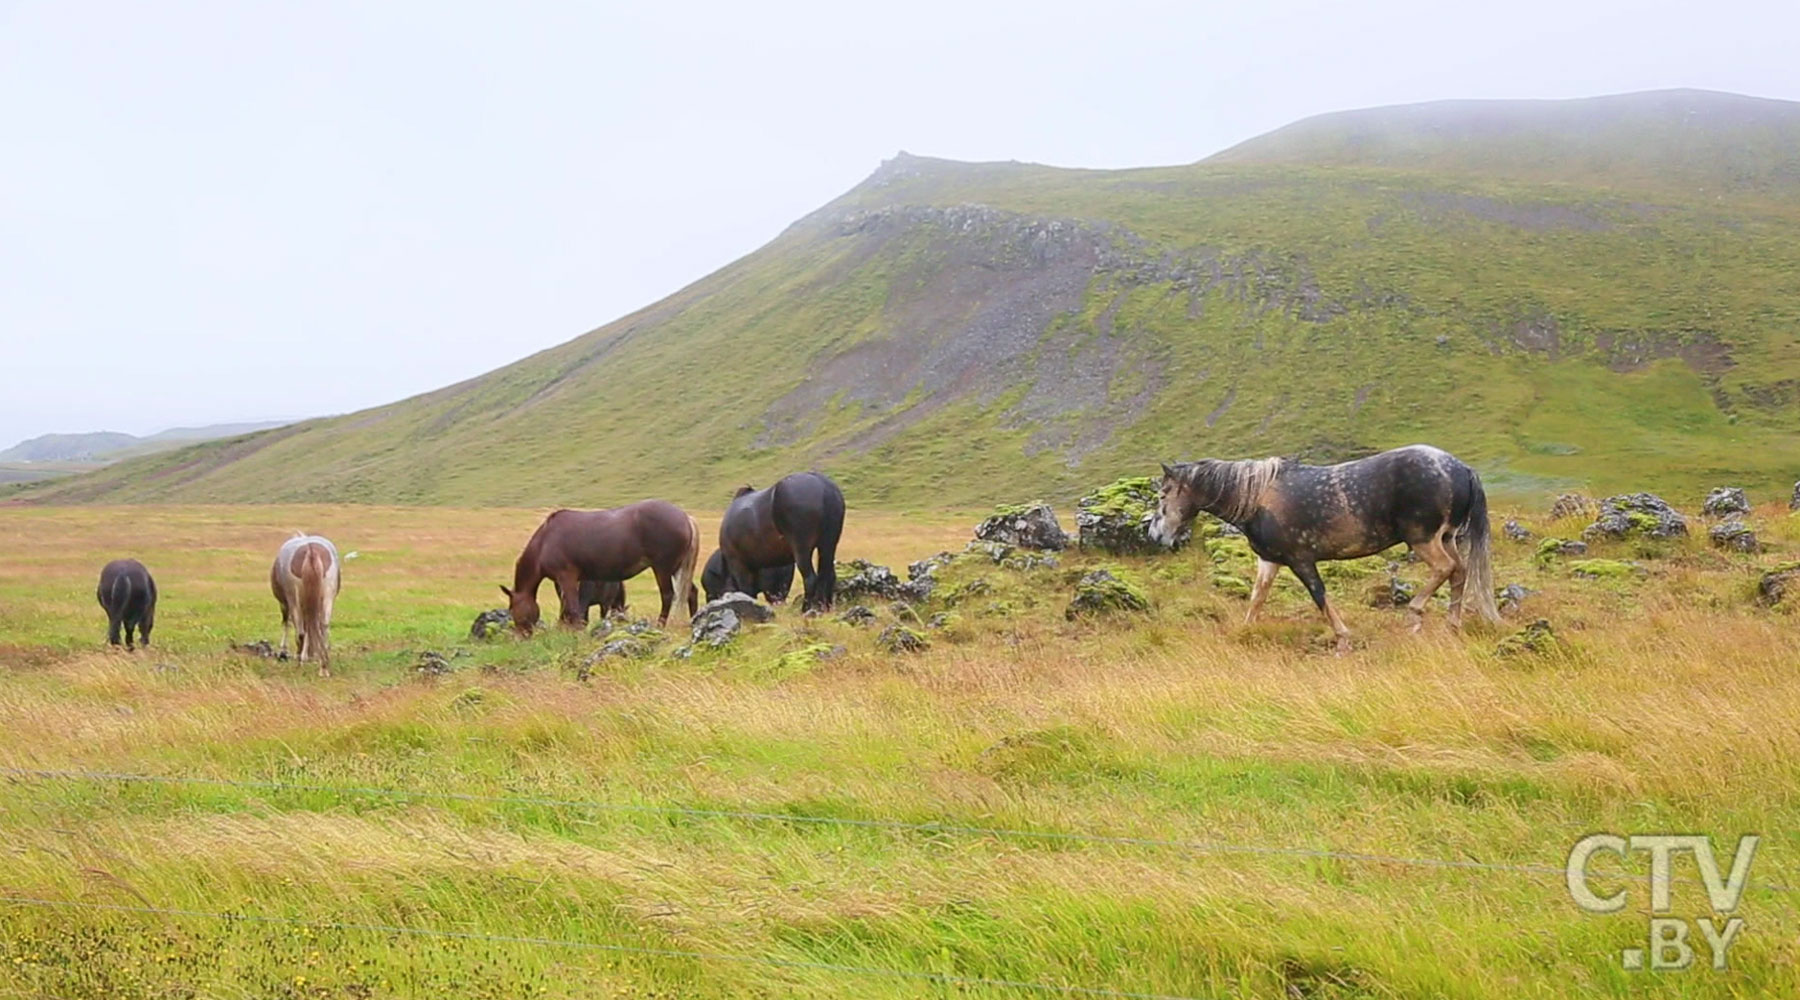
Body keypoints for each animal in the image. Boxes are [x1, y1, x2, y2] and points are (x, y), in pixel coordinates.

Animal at [268, 535, 342, 676]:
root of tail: (311, 551)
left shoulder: (285, 605)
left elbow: (287, 624)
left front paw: (283, 652)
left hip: (294, 602)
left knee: (300, 631)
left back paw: (299, 663)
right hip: (327, 599)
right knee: (323, 627)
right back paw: (323, 667)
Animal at [511, 500, 705, 633]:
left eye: (513, 610)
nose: (521, 635)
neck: (546, 540)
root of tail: (685, 517)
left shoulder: (567, 576)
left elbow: (573, 606)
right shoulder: (561, 581)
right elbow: (565, 606)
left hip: (663, 568)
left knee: (668, 595)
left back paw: (660, 625)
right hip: (677, 569)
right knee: (691, 592)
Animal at [720, 471, 846, 611]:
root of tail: (825, 486)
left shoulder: (738, 564)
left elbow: (746, 590)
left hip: (802, 549)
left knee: (810, 579)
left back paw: (805, 609)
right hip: (828, 546)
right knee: (829, 576)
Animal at [1152, 444, 1504, 647]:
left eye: (1163, 493)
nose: (1156, 535)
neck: (1257, 496)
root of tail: (1462, 469)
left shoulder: (1301, 560)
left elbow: (1319, 596)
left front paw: (1343, 636)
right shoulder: (1270, 560)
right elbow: (1257, 598)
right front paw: (1244, 633)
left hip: (1423, 539)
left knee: (1446, 568)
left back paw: (1416, 615)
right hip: (1447, 537)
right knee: (1460, 572)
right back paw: (1452, 626)